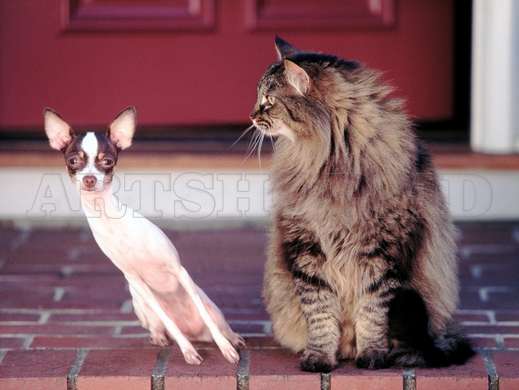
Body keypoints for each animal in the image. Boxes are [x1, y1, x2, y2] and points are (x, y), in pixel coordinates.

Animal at [44, 106, 244, 362]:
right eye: (73, 161)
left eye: (107, 161)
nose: (89, 179)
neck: (111, 221)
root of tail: (196, 333)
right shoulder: (136, 282)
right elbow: (169, 321)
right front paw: (187, 350)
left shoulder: (179, 271)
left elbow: (205, 316)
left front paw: (226, 348)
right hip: (139, 303)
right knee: (162, 326)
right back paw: (161, 337)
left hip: (210, 305)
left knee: (215, 322)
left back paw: (231, 338)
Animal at [251, 36, 476, 372]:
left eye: (268, 100)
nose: (251, 115)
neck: (332, 160)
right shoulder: (306, 248)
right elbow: (320, 316)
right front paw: (319, 357)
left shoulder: (383, 255)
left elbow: (372, 315)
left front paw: (371, 355)